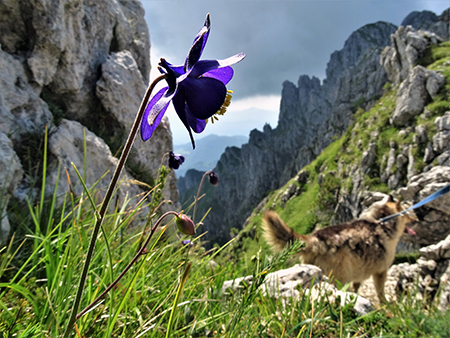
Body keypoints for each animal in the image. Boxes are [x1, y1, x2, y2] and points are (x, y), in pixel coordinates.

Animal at [262, 195, 416, 304]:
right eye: (406, 211)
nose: (416, 219)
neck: (384, 223)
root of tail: (315, 239)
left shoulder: (359, 271)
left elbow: (356, 286)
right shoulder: (381, 271)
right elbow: (380, 291)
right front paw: (385, 303)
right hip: (339, 276)